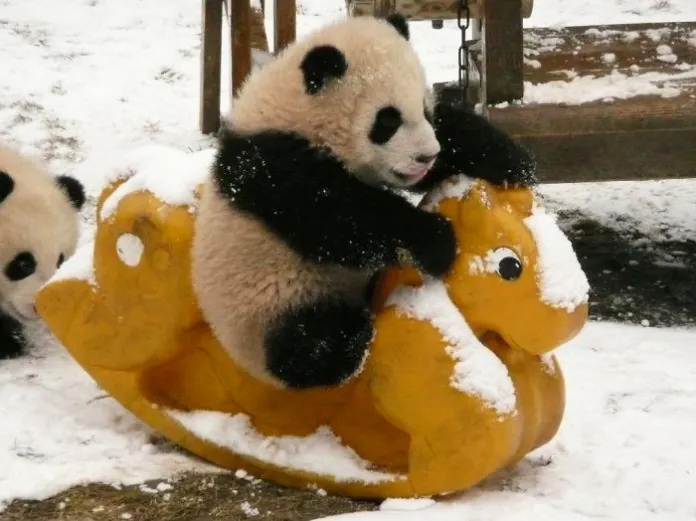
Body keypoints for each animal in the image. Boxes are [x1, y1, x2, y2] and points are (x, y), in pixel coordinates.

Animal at [193, 13, 536, 386]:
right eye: (387, 120)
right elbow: (339, 218)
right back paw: (347, 342)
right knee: (306, 340)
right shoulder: (271, 165)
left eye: (425, 110)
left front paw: (510, 162)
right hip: (266, 299)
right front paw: (436, 240)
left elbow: (452, 135)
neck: (295, 111)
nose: (426, 156)